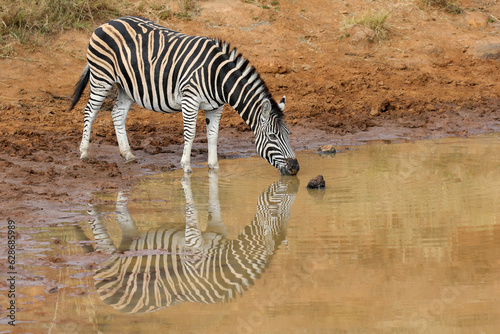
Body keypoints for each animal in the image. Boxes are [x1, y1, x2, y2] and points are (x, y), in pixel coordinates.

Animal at [68, 16, 298, 175]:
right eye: (272, 136)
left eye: (288, 134)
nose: (295, 168)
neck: (218, 76)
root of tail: (107, 22)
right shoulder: (190, 99)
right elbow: (191, 133)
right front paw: (186, 166)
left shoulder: (216, 107)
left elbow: (213, 135)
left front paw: (214, 167)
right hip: (101, 77)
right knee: (90, 111)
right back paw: (84, 152)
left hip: (126, 87)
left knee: (117, 114)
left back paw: (128, 154)